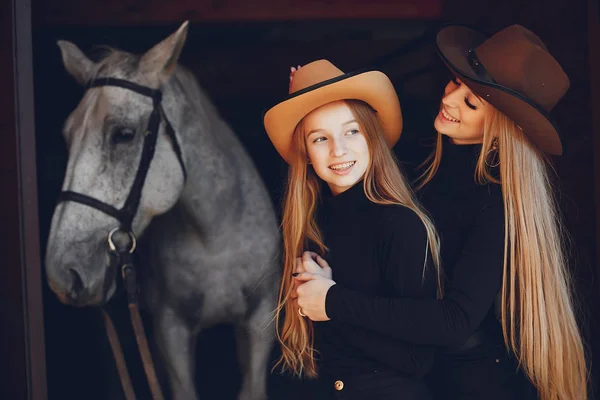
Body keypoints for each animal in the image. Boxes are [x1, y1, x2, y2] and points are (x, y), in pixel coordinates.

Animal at [44, 22, 282, 400]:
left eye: (123, 134)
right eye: (68, 136)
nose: (61, 272)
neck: (215, 238)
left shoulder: (260, 323)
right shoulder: (171, 331)